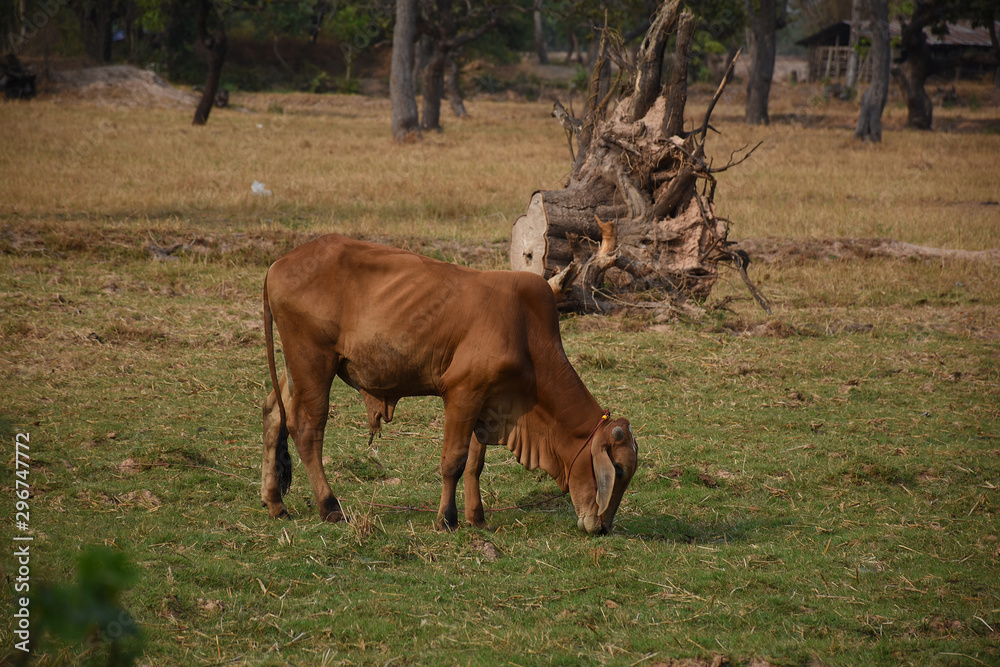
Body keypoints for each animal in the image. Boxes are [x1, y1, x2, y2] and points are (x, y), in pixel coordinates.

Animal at [261, 234, 638, 534]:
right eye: (618, 470)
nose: (602, 527)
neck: (526, 332)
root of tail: (278, 264)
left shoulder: (488, 402)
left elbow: (474, 464)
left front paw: (477, 517)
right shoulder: (462, 393)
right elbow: (453, 462)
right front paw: (447, 519)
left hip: (297, 369)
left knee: (274, 412)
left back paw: (275, 502)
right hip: (313, 361)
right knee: (307, 428)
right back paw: (329, 507)